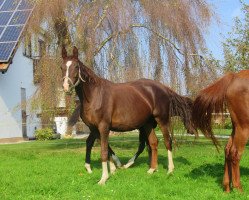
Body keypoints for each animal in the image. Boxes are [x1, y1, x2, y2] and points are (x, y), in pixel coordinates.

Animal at [60, 45, 196, 184]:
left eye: (76, 66)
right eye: (62, 67)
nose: (66, 87)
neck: (95, 96)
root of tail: (163, 88)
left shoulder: (103, 127)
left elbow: (104, 151)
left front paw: (104, 178)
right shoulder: (94, 128)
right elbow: (105, 148)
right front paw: (113, 168)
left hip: (161, 120)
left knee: (167, 141)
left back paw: (170, 170)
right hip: (147, 124)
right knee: (153, 142)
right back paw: (152, 169)